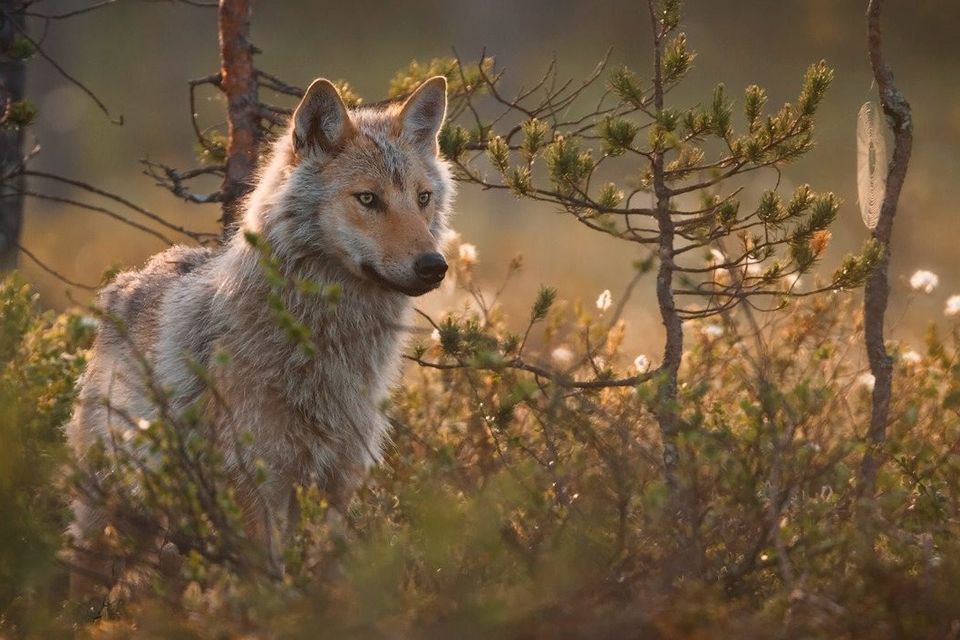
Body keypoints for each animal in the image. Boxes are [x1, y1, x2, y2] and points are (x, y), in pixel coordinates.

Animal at [65, 76, 456, 600]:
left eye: (422, 198)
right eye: (368, 199)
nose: (434, 266)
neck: (327, 346)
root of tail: (122, 284)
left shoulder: (338, 484)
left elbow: (330, 578)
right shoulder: (257, 484)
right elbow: (268, 584)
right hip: (116, 512)